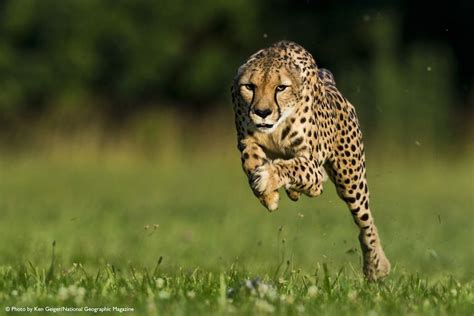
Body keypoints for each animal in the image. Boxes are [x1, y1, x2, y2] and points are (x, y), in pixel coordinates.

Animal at [231, 40, 390, 280]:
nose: (262, 112)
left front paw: (268, 179)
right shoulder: (246, 141)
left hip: (350, 179)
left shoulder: (311, 163)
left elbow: (293, 167)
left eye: (281, 87)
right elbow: (251, 160)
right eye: (250, 87)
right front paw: (268, 195)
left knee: (365, 221)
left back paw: (376, 266)